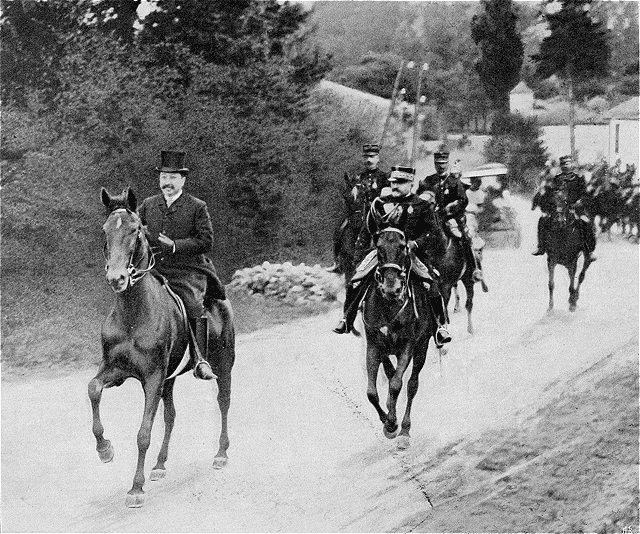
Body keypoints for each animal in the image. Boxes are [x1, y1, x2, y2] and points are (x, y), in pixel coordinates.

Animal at [88, 188, 235, 508]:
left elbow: (144, 432)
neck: (133, 313)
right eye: (105, 230)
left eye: (135, 231)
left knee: (223, 402)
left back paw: (221, 454)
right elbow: (93, 390)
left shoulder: (153, 377)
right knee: (171, 416)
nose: (117, 278)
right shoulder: (116, 371)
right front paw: (105, 449)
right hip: (169, 380)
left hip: (224, 364)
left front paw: (136, 488)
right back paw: (159, 464)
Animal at [361, 228, 433, 449]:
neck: (389, 305)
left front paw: (394, 425)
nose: (391, 288)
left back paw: (405, 430)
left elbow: (396, 385)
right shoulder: (374, 346)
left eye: (402, 248)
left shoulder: (407, 346)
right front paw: (387, 422)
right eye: (378, 248)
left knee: (411, 385)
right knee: (391, 374)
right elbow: (371, 392)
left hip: (422, 347)